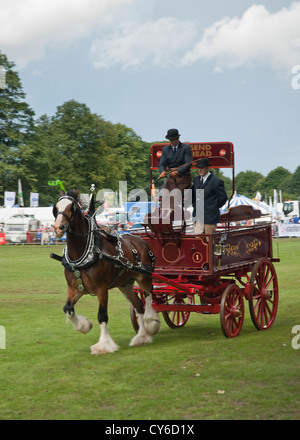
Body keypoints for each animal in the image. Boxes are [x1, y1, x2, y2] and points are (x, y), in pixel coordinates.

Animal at [52, 190, 159, 354]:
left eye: (72, 207)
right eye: (56, 208)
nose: (59, 227)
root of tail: (140, 240)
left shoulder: (101, 289)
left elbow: (102, 316)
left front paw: (104, 345)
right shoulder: (75, 288)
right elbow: (68, 309)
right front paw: (84, 326)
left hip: (144, 277)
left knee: (149, 294)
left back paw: (151, 322)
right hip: (125, 284)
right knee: (138, 305)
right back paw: (141, 337)